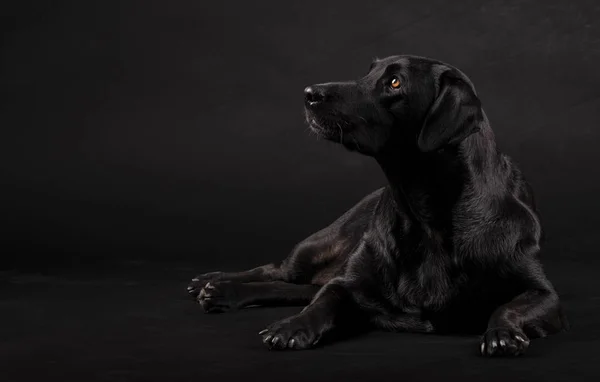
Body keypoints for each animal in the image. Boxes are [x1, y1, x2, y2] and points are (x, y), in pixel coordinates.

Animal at [186, 55, 568, 356]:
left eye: (394, 82)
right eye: (368, 72)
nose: (309, 93)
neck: (426, 215)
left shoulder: (544, 293)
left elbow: (509, 307)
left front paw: (502, 333)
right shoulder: (348, 283)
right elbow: (323, 301)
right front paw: (292, 326)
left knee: (292, 286)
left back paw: (218, 291)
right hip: (319, 244)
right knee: (278, 271)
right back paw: (214, 283)